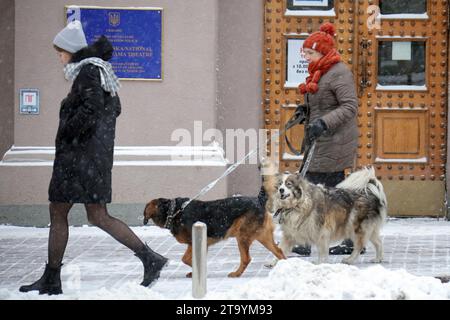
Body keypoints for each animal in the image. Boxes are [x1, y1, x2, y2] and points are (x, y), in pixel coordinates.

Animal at [142, 188, 286, 278]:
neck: (174, 211)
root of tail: (259, 201)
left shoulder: (197, 242)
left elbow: (186, 259)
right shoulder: (194, 243)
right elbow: (189, 259)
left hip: (242, 237)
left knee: (246, 258)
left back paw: (236, 274)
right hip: (262, 236)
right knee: (279, 252)